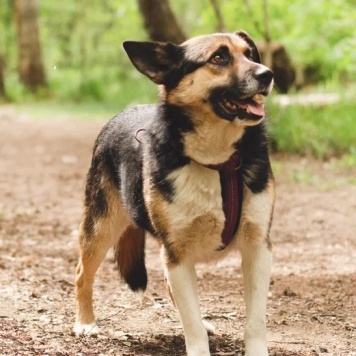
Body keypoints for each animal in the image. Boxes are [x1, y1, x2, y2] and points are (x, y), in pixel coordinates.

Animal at [73, 30, 276, 356]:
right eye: (219, 57)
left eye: (249, 54)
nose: (267, 74)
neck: (216, 160)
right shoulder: (177, 253)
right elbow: (191, 324)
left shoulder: (258, 247)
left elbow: (255, 321)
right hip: (101, 228)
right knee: (82, 274)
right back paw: (85, 322)